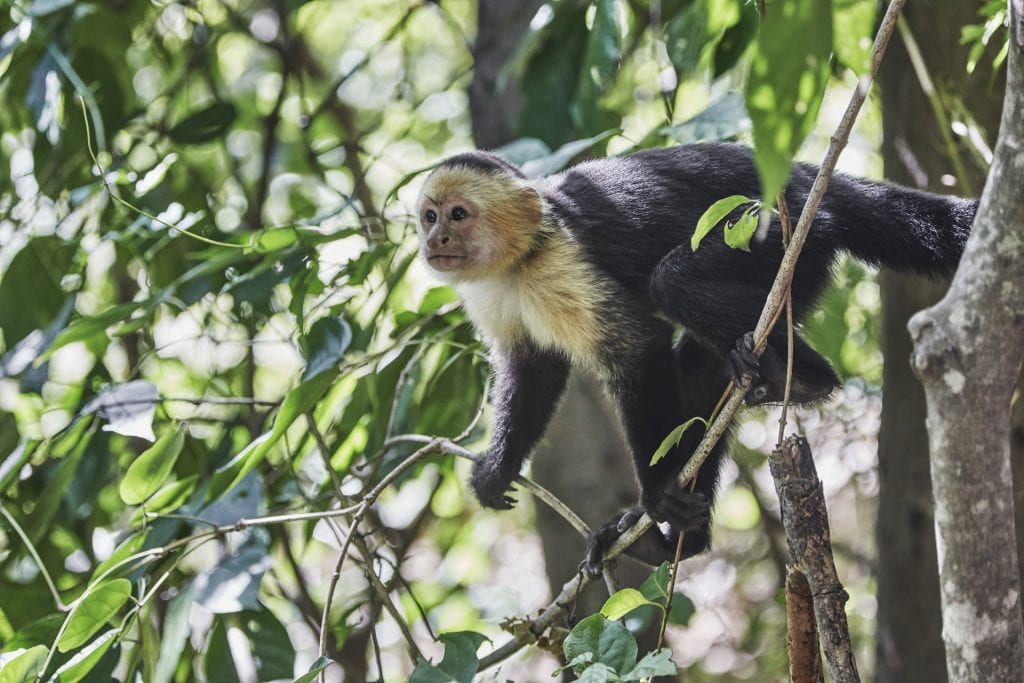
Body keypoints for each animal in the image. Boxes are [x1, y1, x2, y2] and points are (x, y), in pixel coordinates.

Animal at [411, 143, 970, 577]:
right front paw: (497, 469)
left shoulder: (563, 263)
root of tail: (812, 178)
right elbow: (532, 371)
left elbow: (638, 349)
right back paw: (676, 540)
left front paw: (657, 492)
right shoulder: (493, 294)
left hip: (788, 232)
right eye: (430, 216)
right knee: (702, 367)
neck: (521, 256)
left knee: (674, 280)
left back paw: (809, 380)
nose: (434, 240)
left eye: (459, 214)